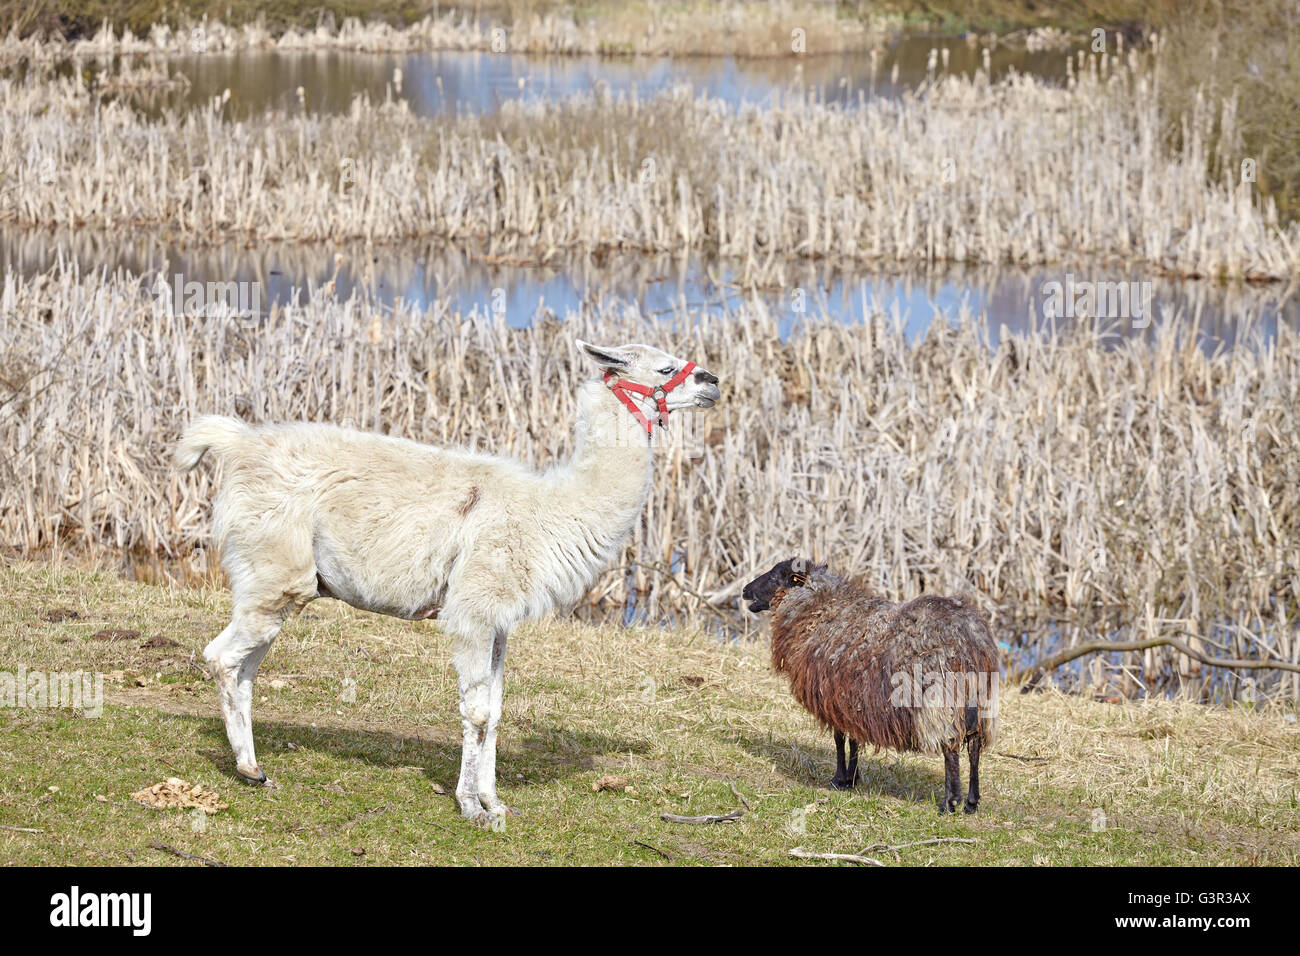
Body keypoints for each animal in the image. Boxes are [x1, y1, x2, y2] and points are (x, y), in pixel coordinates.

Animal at [743, 561, 1003, 816]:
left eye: (774, 577)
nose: (745, 590)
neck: (817, 611)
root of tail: (970, 640)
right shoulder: (850, 700)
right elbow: (853, 740)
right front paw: (852, 778)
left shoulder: (832, 698)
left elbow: (839, 740)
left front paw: (839, 779)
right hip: (980, 705)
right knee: (975, 748)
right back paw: (971, 802)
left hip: (940, 703)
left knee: (951, 749)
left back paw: (950, 802)